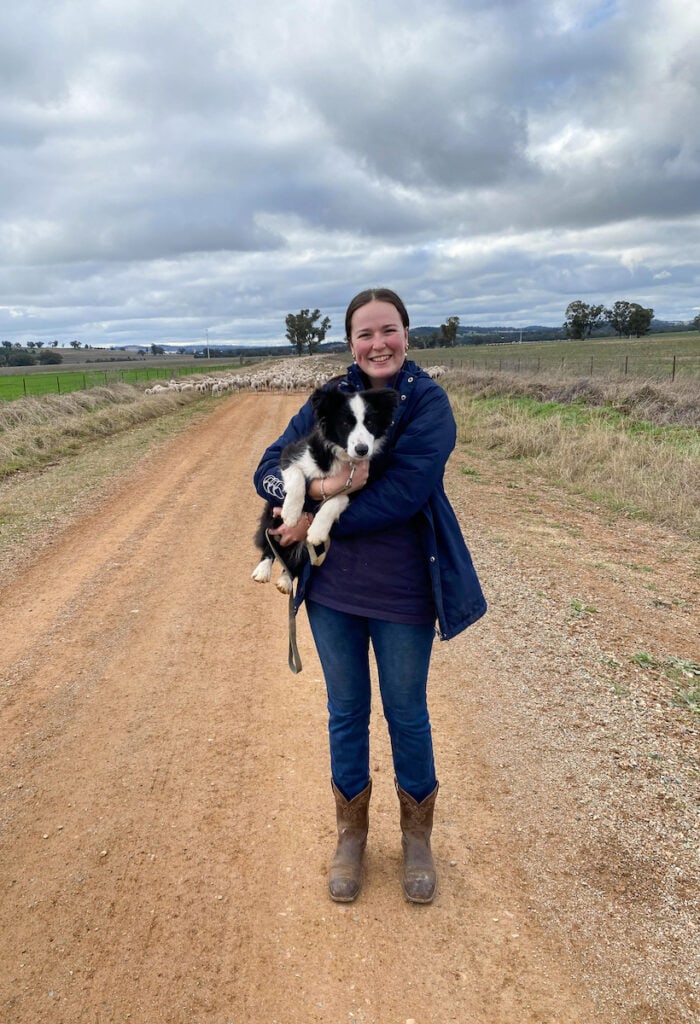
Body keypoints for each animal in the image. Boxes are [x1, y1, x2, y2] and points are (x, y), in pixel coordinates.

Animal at [251, 382, 397, 593]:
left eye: (370, 423)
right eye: (345, 424)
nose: (362, 450)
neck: (343, 457)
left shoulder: (358, 484)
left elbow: (337, 500)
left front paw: (317, 531)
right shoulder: (290, 454)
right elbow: (297, 477)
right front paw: (292, 514)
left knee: (294, 564)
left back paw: (286, 580)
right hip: (272, 514)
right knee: (271, 542)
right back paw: (263, 569)